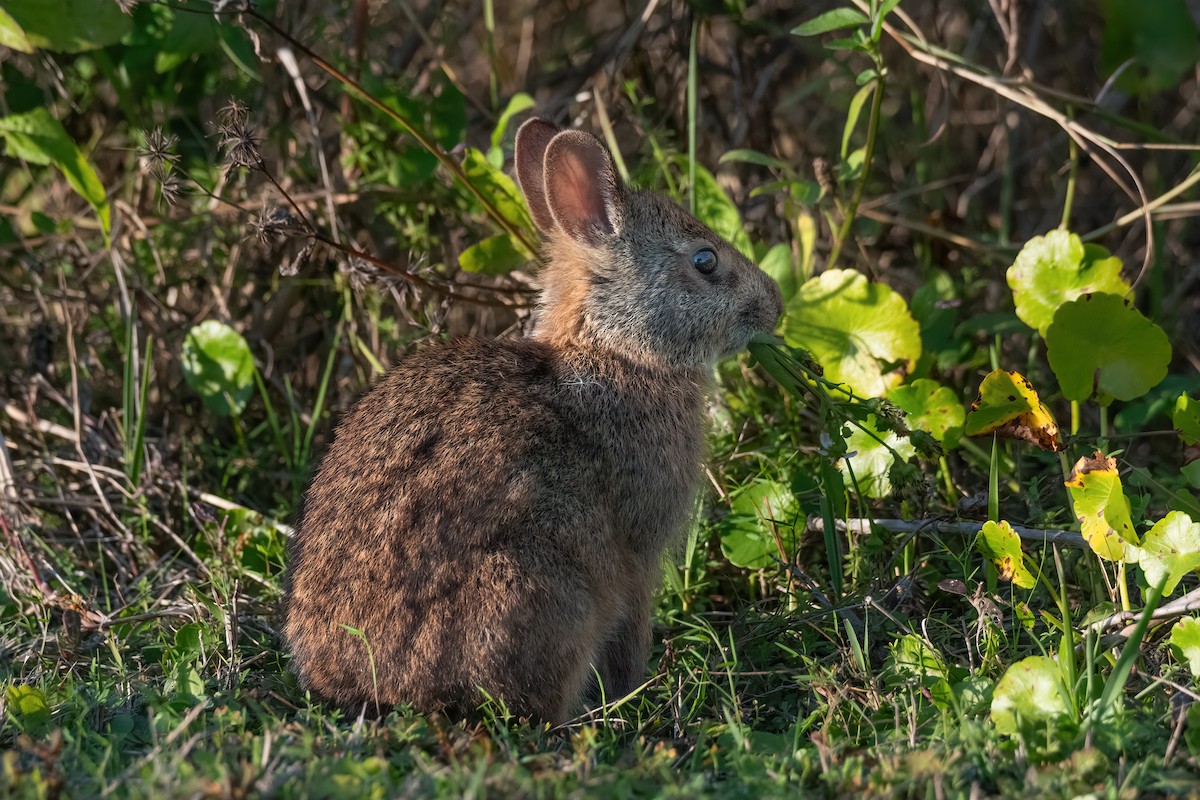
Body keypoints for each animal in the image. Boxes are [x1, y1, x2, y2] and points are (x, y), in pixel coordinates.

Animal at [282, 117, 783, 723]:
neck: (615, 350)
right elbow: (633, 620)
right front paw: (635, 686)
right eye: (705, 261)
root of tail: (365, 683)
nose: (775, 304)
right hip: (537, 589)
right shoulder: (638, 552)